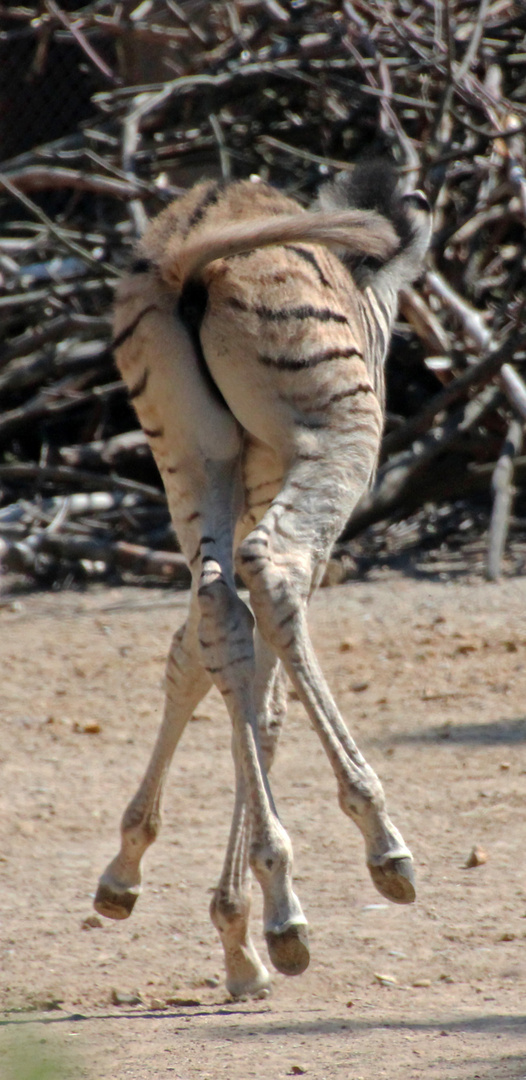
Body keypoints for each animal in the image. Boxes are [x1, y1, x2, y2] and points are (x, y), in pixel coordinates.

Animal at [94, 164, 432, 997]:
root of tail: (190, 250)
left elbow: (206, 665)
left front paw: (202, 908)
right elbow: (269, 696)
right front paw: (256, 913)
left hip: (189, 459)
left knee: (219, 609)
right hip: (332, 442)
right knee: (269, 577)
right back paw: (380, 843)